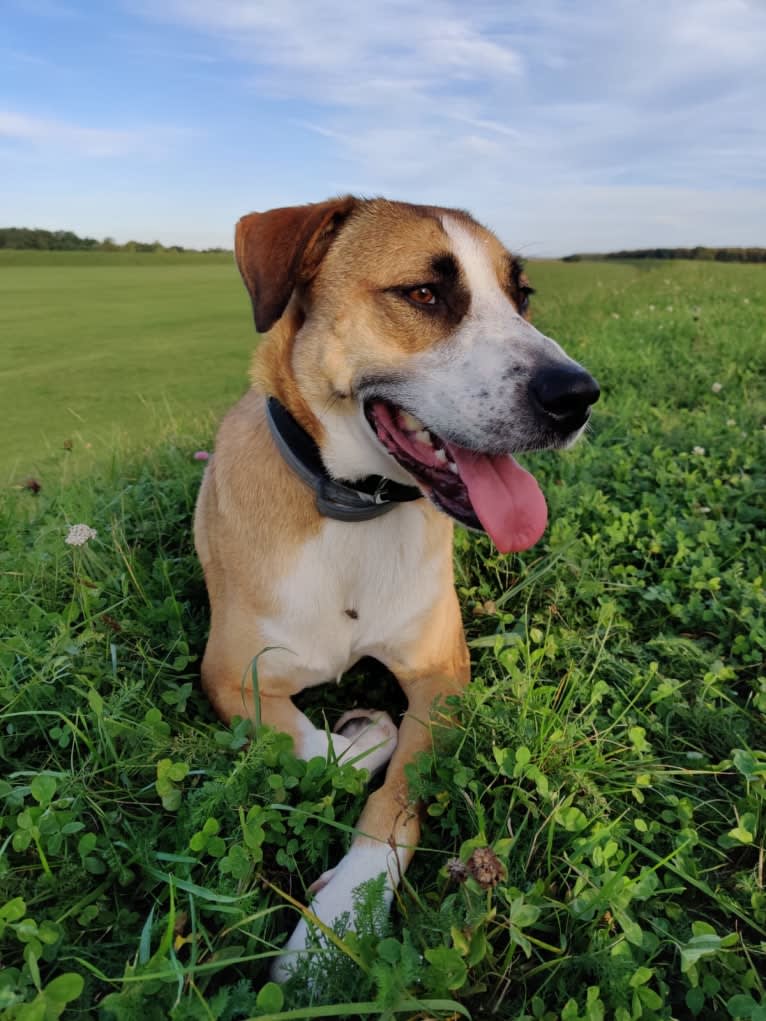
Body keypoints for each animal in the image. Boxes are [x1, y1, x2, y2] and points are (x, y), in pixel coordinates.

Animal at [193, 195, 600, 976]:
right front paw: (362, 735)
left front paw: (335, 925)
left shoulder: (442, 677)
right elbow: (302, 740)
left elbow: (396, 800)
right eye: (423, 294)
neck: (355, 509)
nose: (579, 396)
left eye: (522, 296)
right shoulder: (230, 673)